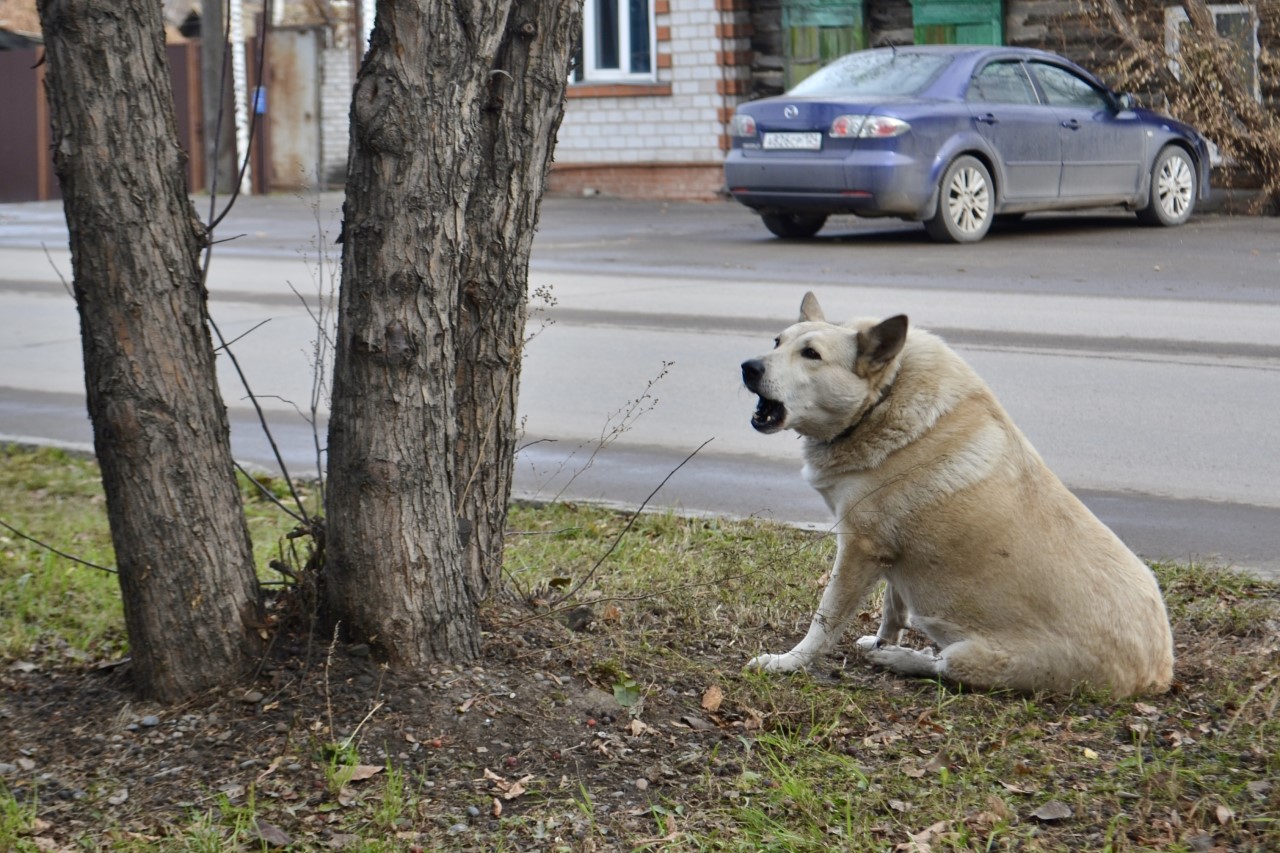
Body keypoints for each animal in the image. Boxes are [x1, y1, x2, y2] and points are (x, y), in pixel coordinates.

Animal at [747, 289, 1172, 696]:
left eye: (811, 354)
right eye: (777, 341)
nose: (748, 367)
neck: (882, 401)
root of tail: (1157, 673)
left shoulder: (859, 549)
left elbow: (825, 621)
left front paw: (789, 662)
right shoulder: (891, 554)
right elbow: (893, 609)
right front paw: (883, 640)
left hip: (980, 658)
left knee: (943, 667)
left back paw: (901, 659)